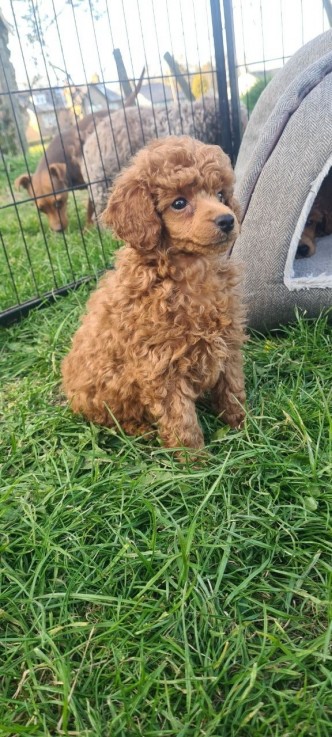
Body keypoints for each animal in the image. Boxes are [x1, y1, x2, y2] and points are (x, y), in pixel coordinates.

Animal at [61, 135, 245, 452]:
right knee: (114, 421)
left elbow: (232, 388)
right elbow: (181, 420)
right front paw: (196, 461)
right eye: (179, 203)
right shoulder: (161, 364)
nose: (227, 220)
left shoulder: (228, 343)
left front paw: (247, 430)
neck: (192, 272)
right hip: (105, 394)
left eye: (221, 195)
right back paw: (142, 432)